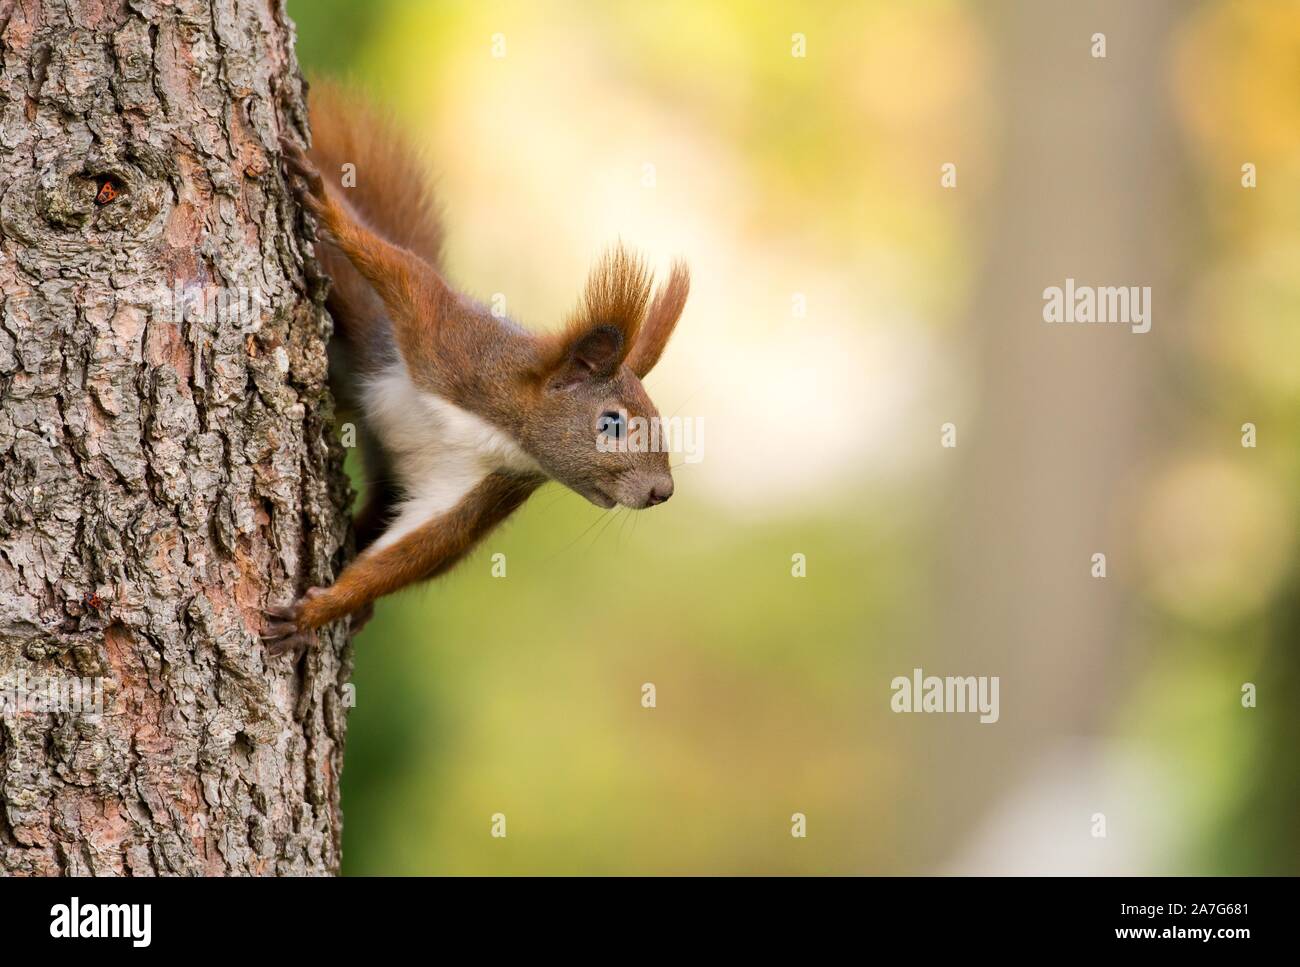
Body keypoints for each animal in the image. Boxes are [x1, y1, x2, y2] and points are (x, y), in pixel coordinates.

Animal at [266, 83, 691, 652]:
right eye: (612, 423)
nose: (662, 492)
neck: (498, 429)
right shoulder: (450, 343)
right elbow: (403, 271)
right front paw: (328, 205)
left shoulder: (482, 488)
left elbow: (421, 551)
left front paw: (322, 610)